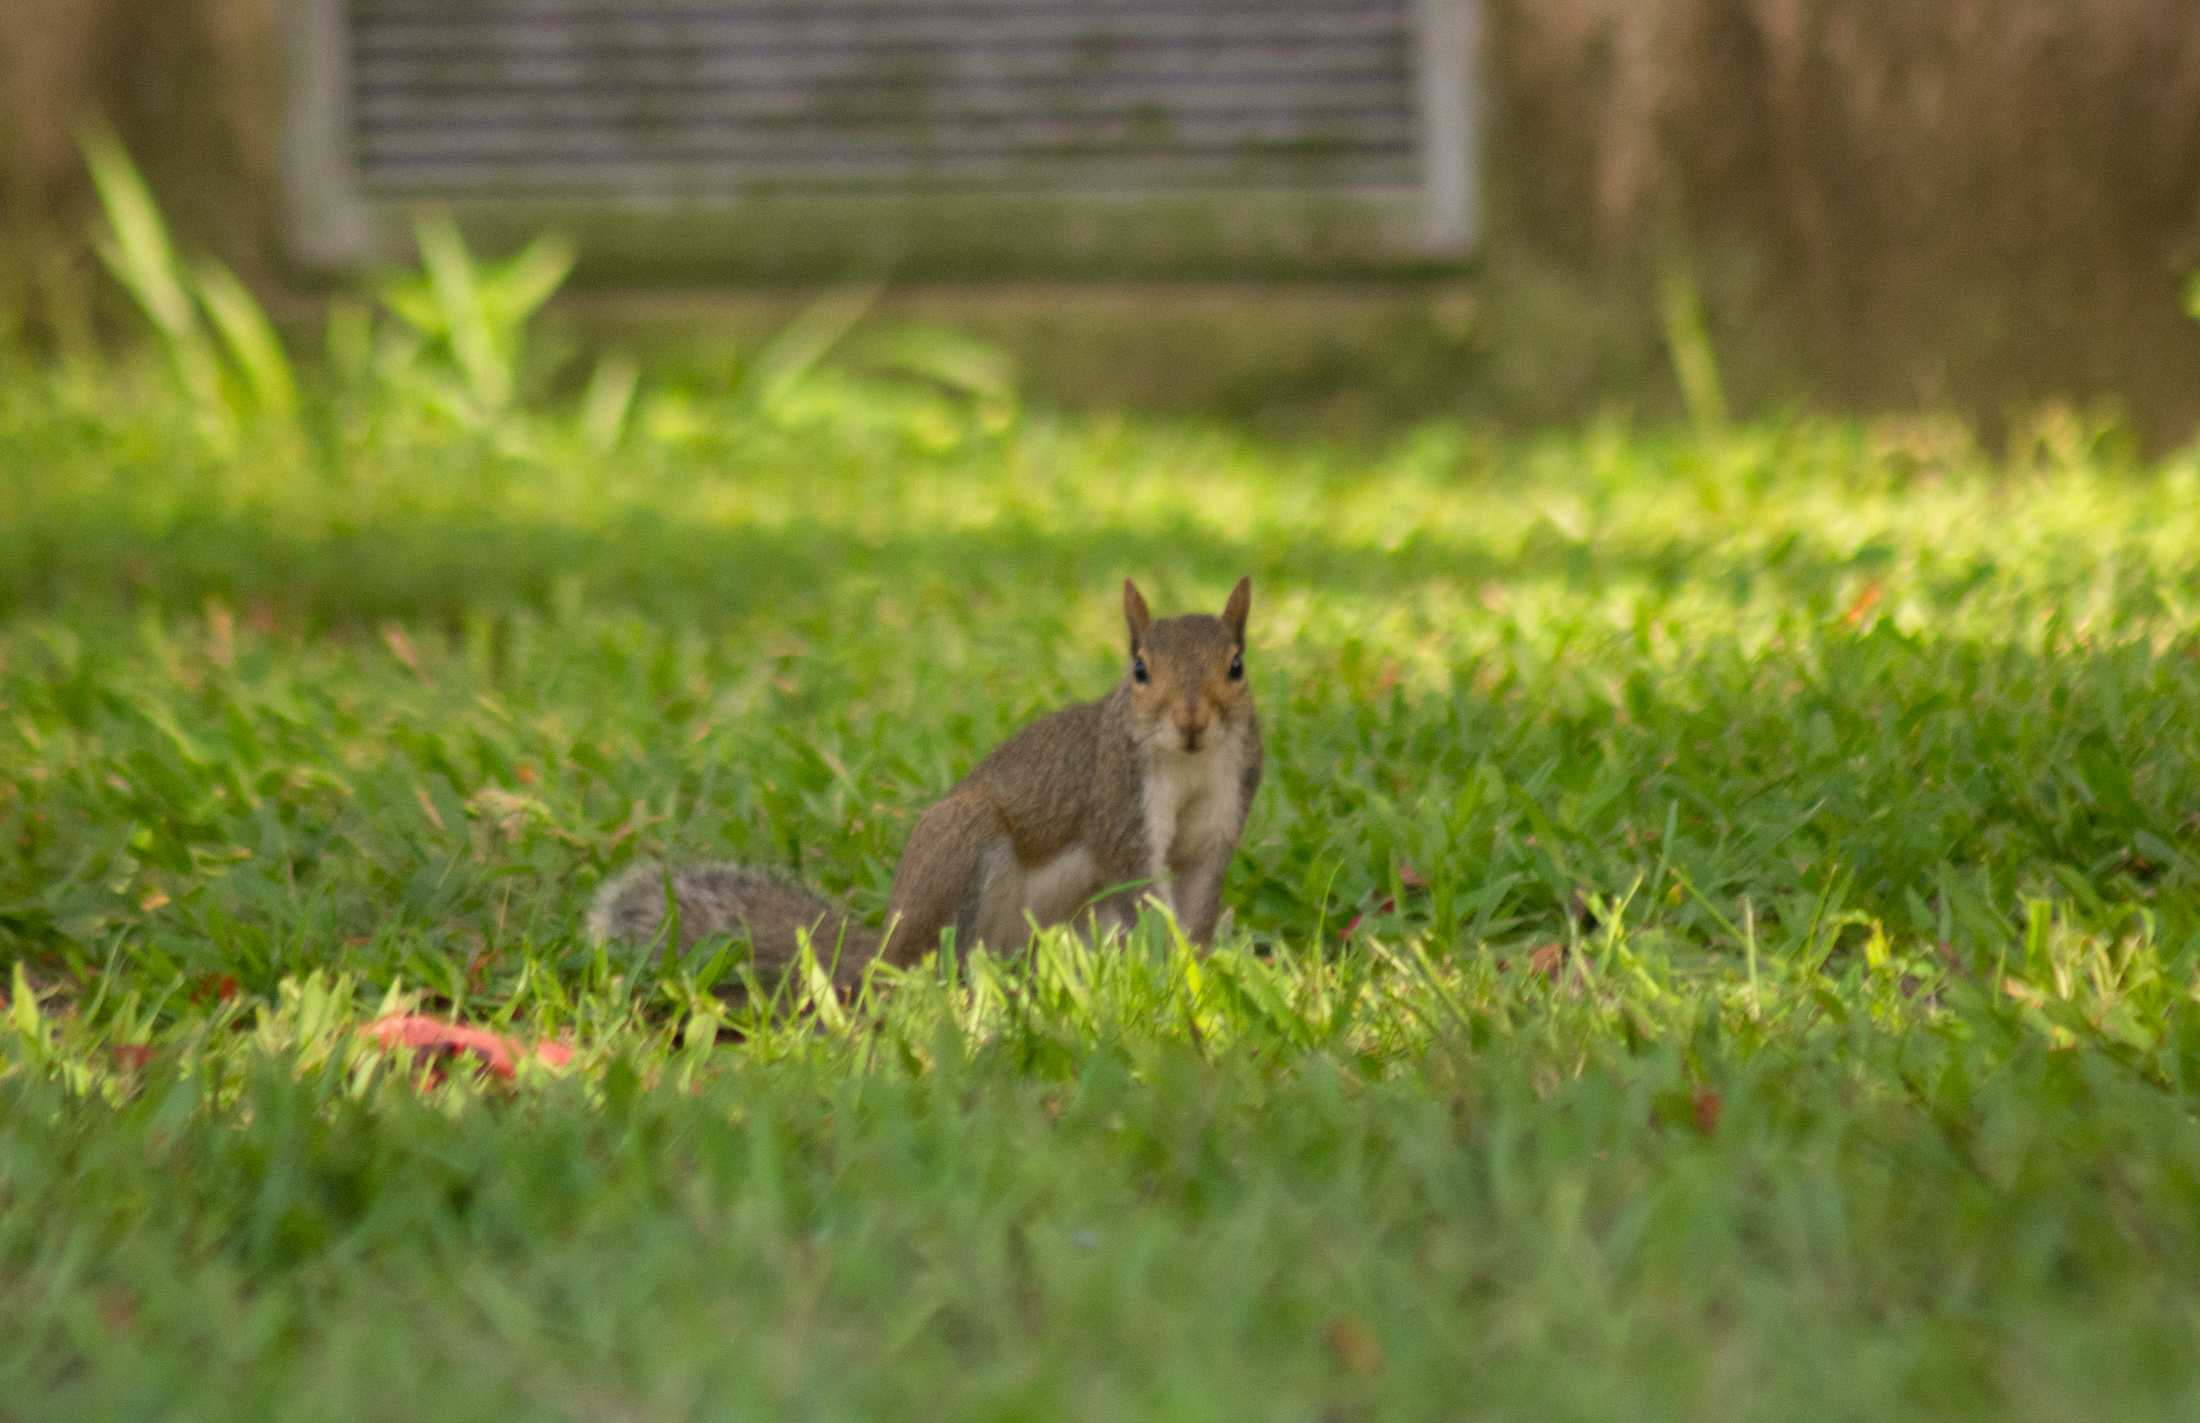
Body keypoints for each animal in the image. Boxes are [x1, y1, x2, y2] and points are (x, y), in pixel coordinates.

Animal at [585, 571, 1267, 998]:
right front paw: (1177, 969)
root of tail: (888, 944)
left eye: (1236, 667)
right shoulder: (1120, 807)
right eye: (1140, 670)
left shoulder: (1219, 824)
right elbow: (1147, 892)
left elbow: (1196, 901)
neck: (1189, 765)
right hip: (962, 842)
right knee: (934, 962)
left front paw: (1200, 967)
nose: (1192, 722)